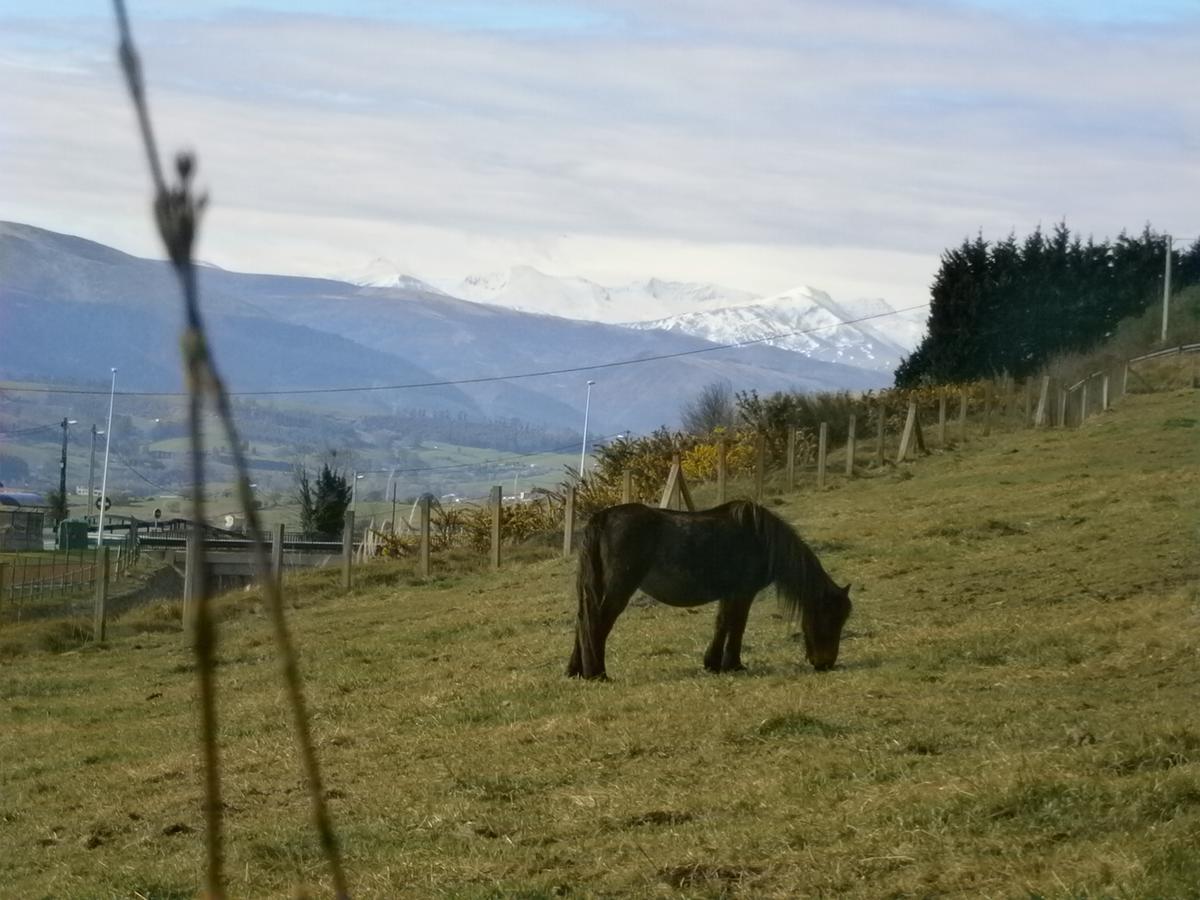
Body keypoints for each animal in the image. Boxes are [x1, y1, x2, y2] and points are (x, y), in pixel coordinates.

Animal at [564, 504, 854, 681]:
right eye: (831, 618)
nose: (826, 664)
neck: (759, 537)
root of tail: (603, 518)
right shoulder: (743, 593)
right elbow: (736, 626)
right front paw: (733, 664)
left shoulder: (730, 594)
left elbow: (722, 624)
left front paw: (713, 663)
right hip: (617, 590)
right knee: (597, 624)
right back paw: (597, 673)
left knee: (583, 622)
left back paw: (576, 670)